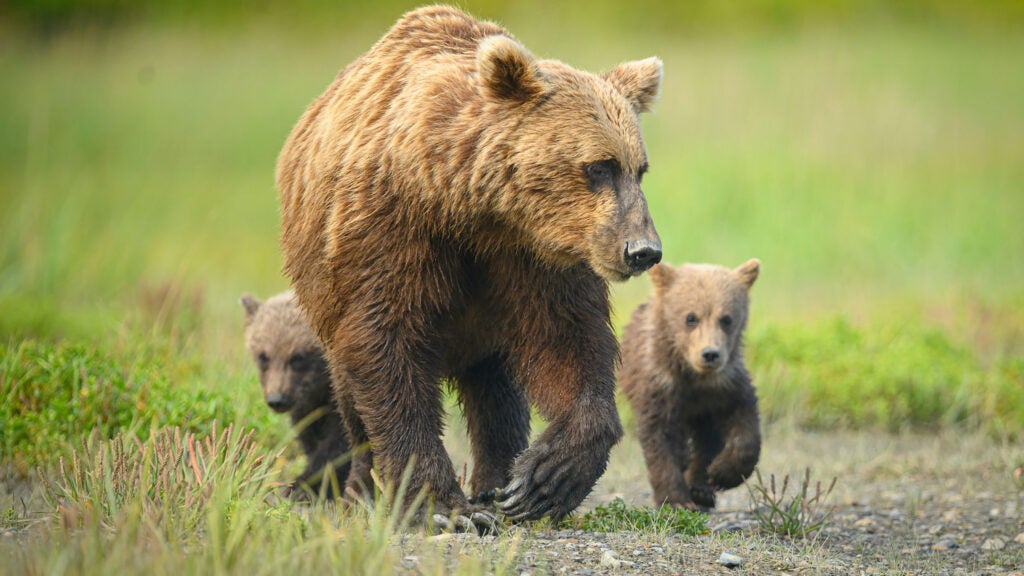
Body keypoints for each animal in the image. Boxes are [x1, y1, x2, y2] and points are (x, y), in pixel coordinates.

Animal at [240, 291, 356, 498]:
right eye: (263, 356)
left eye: (298, 357)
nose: (277, 399)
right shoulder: (308, 410)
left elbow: (338, 445)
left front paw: (301, 486)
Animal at [276, 4, 663, 528]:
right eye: (599, 167)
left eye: (638, 169)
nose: (642, 250)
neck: (470, 206)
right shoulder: (391, 229)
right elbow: (386, 345)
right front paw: (441, 507)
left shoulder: (532, 256)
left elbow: (568, 340)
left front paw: (544, 479)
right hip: (322, 284)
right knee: (350, 395)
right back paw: (363, 489)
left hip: (487, 329)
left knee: (495, 389)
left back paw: (495, 483)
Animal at [614, 259, 761, 506]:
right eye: (691, 317)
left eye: (726, 319)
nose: (710, 354)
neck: (694, 376)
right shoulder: (660, 384)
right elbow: (661, 437)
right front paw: (675, 499)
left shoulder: (726, 385)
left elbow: (744, 423)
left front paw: (722, 473)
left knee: (706, 438)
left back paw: (701, 488)